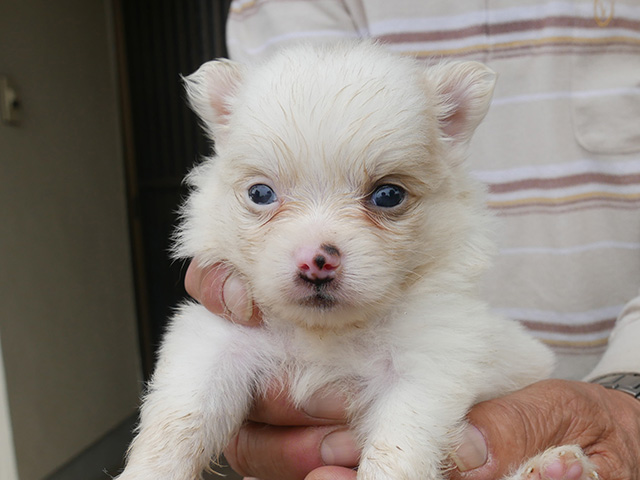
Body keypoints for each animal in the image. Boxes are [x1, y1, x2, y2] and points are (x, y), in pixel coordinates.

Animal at [117, 42, 596, 480]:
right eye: (260, 193)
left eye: (388, 195)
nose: (317, 261)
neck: (327, 333)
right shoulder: (216, 344)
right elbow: (179, 421)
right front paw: (149, 472)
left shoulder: (425, 371)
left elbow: (396, 452)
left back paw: (555, 466)